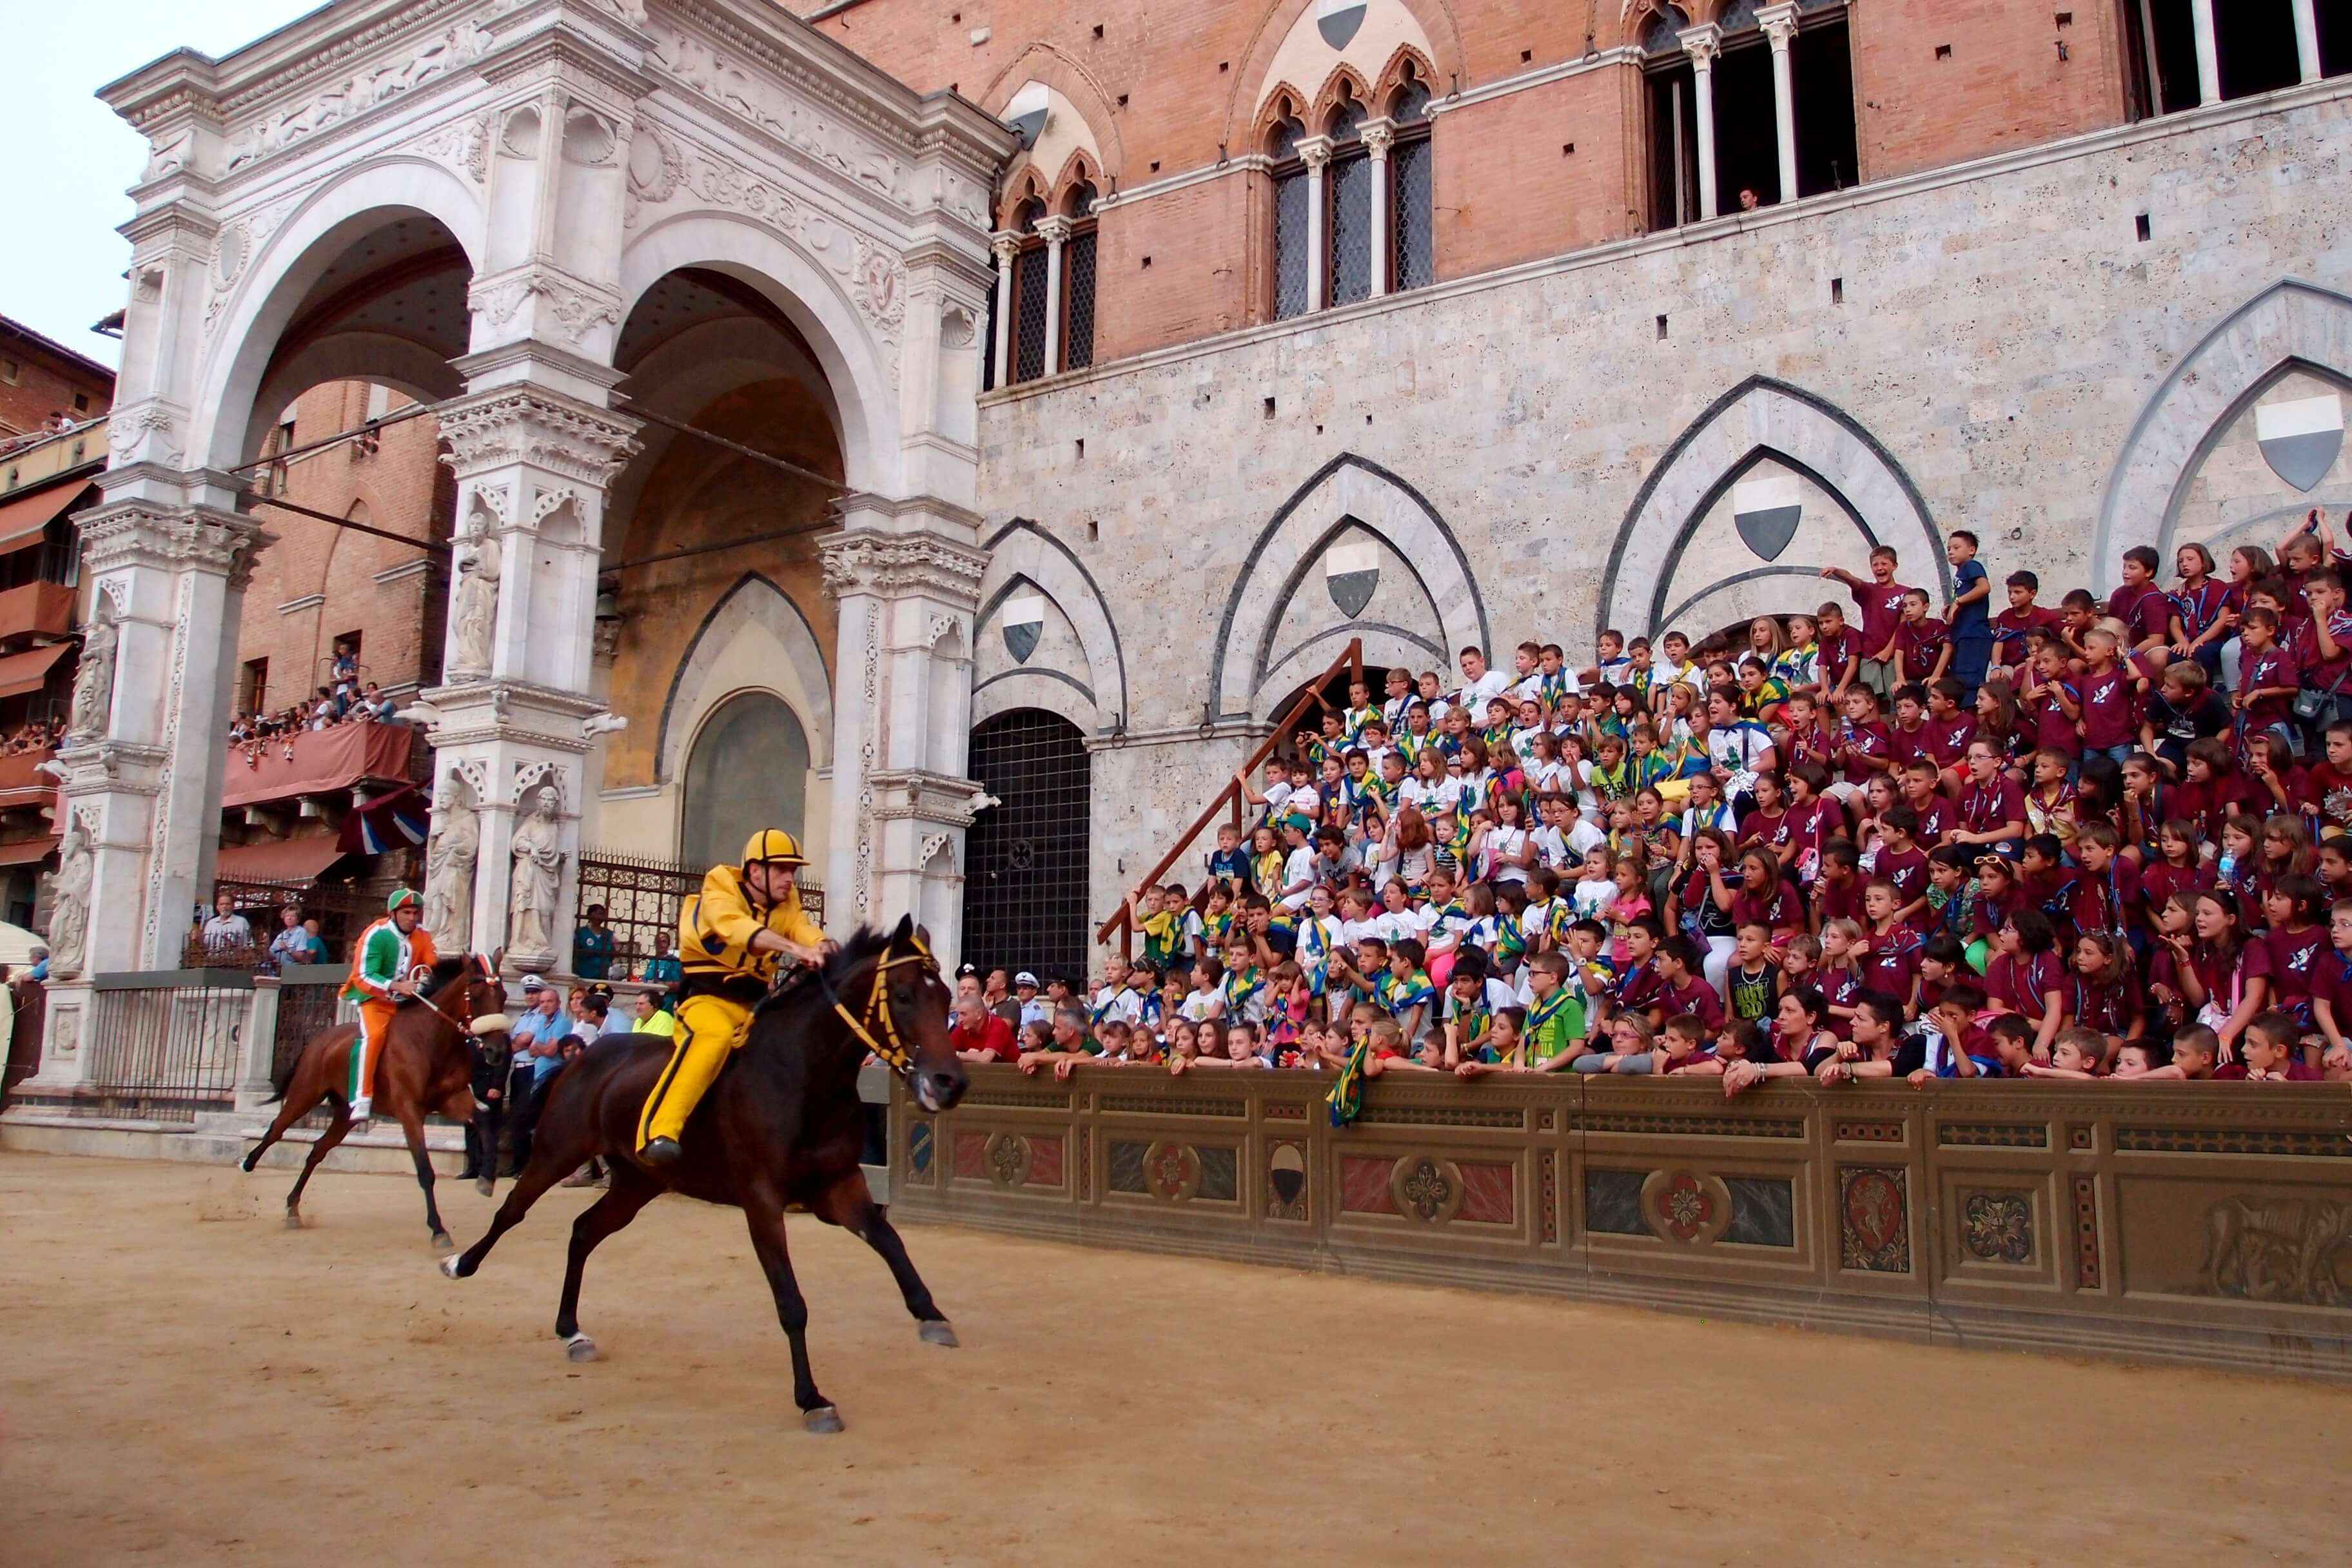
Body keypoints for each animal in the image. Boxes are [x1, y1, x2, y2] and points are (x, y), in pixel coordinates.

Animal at [240, 950, 513, 1260]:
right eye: (476, 996)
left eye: (503, 995)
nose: (497, 1051)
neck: (431, 1041)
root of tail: (320, 1039)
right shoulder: (409, 1112)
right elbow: (425, 1171)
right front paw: (438, 1230)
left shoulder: (454, 1100)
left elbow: (485, 1125)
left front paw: (486, 1180)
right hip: (305, 1094)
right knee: (276, 1129)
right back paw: (248, 1164)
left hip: (344, 1115)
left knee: (317, 1151)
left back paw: (293, 1207)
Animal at [442, 912, 964, 1438]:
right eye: (903, 995)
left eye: (945, 997)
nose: (950, 1083)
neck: (801, 1077)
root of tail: (590, 1055)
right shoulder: (762, 1200)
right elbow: (791, 1301)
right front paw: (812, 1399)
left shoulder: (840, 1188)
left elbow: (891, 1241)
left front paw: (931, 1315)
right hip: (557, 1152)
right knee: (513, 1212)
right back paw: (460, 1263)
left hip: (638, 1182)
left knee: (584, 1231)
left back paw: (572, 1331)